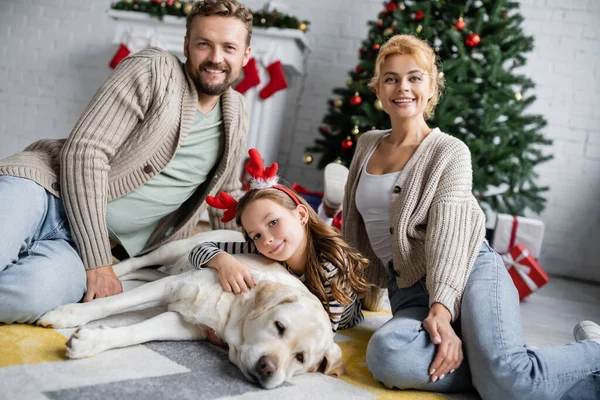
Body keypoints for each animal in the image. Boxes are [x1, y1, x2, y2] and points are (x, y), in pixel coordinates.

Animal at [37, 230, 342, 390]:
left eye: (300, 358)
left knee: (145, 272)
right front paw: (67, 314)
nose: (268, 368)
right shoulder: (169, 287)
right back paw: (110, 277)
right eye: (279, 326)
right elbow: (110, 304)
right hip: (175, 249)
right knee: (136, 262)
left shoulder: (183, 324)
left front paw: (91, 341)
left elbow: (137, 332)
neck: (234, 311)